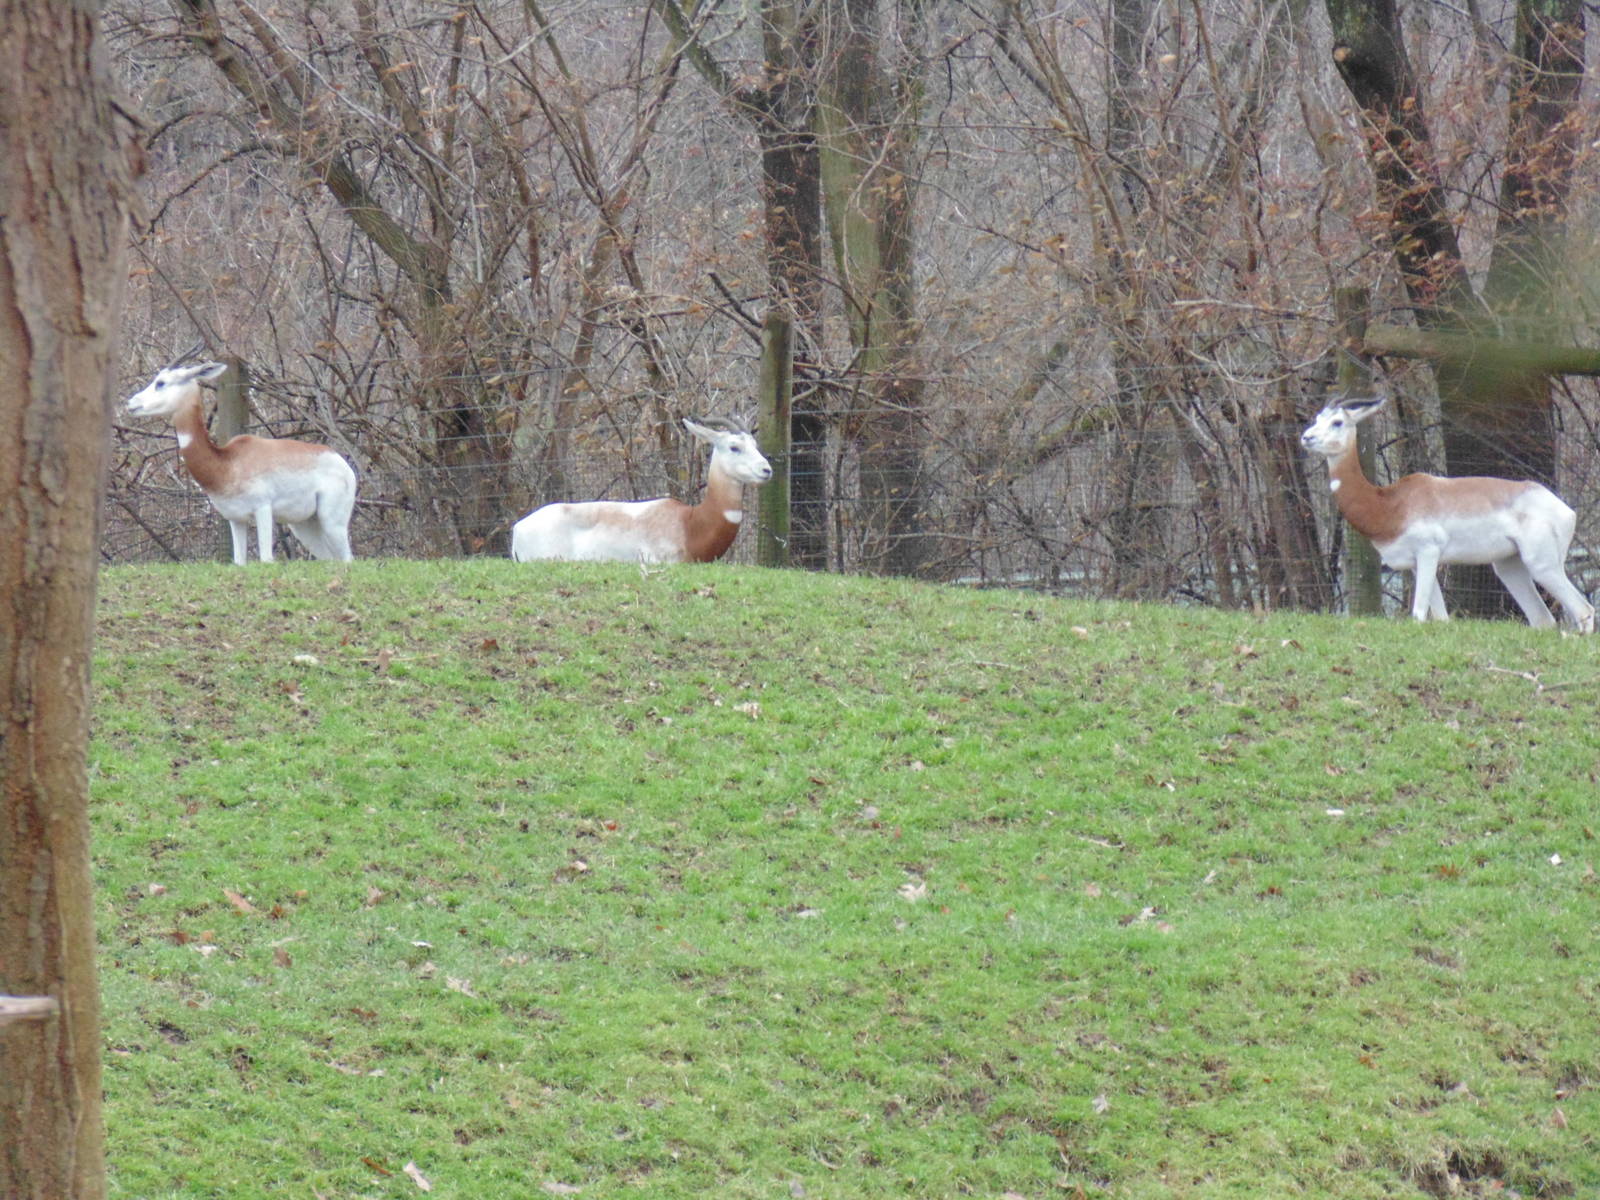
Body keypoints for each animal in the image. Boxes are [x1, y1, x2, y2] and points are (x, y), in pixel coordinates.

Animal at [125, 359, 357, 563]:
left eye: (161, 382)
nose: (131, 403)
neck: (228, 463)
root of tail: (342, 462)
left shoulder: (263, 509)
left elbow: (266, 560)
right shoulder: (235, 519)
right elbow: (239, 562)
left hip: (332, 522)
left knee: (348, 559)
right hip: (305, 526)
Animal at [1300, 393, 1593, 631]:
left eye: (1337, 422)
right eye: (1317, 418)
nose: (1306, 437)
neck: (1391, 503)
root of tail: (1563, 508)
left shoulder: (1429, 552)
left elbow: (1419, 615)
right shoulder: (1416, 563)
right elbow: (1441, 619)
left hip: (1542, 564)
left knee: (1585, 610)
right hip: (1510, 566)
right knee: (1544, 620)